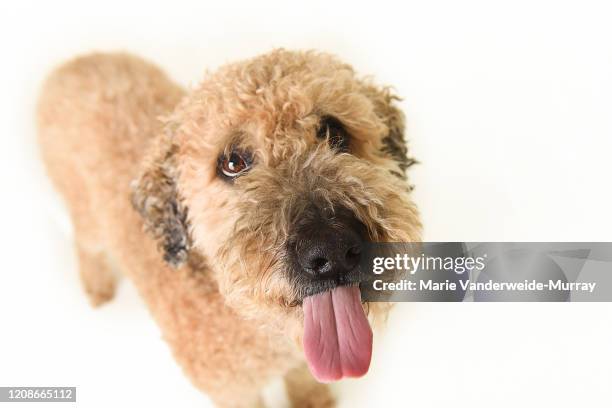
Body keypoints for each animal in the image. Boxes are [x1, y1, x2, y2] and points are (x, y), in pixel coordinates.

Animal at [37, 49, 420, 406]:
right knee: (85, 246)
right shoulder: (234, 394)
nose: (333, 249)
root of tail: (74, 63)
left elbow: (302, 376)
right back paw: (97, 287)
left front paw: (312, 399)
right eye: (232, 162)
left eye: (333, 131)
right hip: (87, 217)